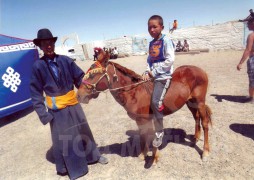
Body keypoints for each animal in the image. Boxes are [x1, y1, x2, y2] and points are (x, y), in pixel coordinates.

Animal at [78, 48, 212, 163]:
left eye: (92, 75)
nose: (79, 95)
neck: (134, 92)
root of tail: (200, 70)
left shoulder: (144, 119)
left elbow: (148, 135)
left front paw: (153, 156)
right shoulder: (141, 120)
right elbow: (143, 136)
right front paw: (144, 154)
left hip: (200, 102)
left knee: (205, 122)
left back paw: (205, 151)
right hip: (190, 102)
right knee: (196, 117)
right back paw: (195, 138)